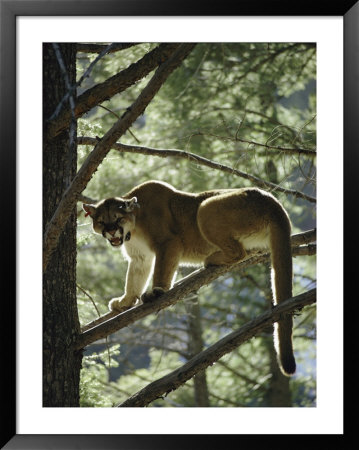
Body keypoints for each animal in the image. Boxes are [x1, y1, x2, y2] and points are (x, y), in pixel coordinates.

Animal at [83, 180, 296, 376]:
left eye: (118, 219)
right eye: (101, 222)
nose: (111, 231)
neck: (133, 229)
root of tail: (271, 200)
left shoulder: (168, 242)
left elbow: (161, 269)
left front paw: (157, 291)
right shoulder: (140, 257)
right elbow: (134, 281)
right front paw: (125, 301)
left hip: (206, 208)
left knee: (238, 251)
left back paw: (211, 259)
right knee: (245, 251)